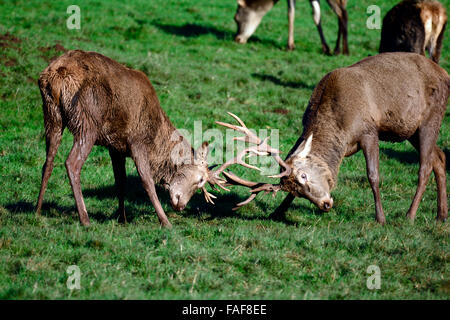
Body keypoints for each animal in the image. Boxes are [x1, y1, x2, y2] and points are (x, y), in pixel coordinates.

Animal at [36, 50, 229, 228]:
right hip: (87, 120)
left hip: (51, 115)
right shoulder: (138, 141)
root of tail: (55, 76)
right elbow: (147, 181)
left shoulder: (115, 147)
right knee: (72, 163)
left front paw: (123, 218)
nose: (181, 206)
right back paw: (85, 219)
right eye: (200, 180)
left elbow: (120, 181)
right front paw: (165, 222)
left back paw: (37, 210)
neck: (156, 139)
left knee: (48, 161)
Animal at [216, 53, 448, 225]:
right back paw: (441, 215)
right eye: (297, 190)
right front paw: (278, 212)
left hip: (431, 117)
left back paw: (410, 215)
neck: (341, 127)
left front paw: (381, 219)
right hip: (410, 131)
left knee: (425, 166)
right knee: (439, 157)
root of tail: (444, 73)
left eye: (304, 176)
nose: (325, 204)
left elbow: (373, 175)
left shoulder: (369, 131)